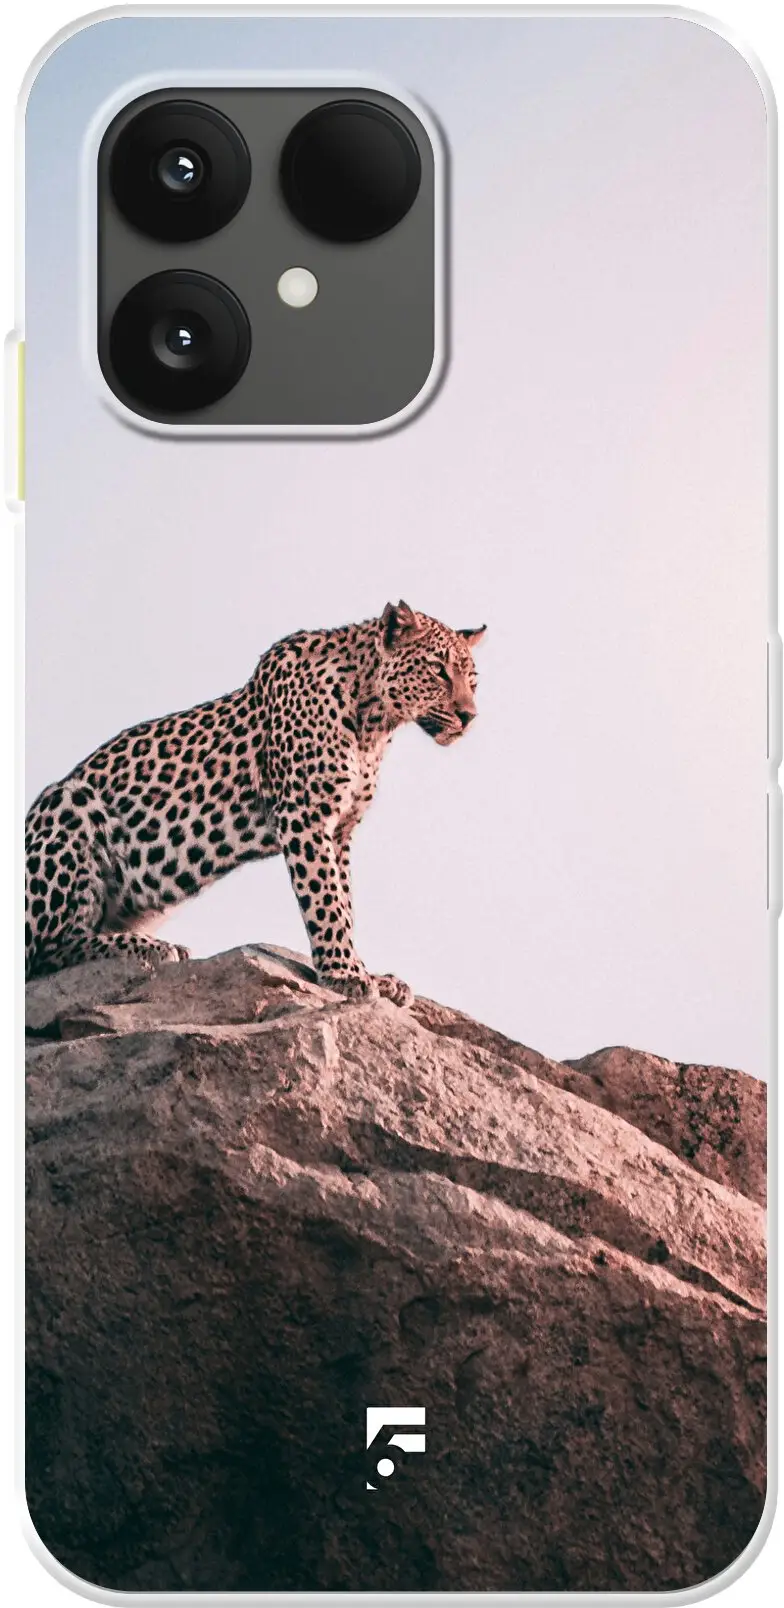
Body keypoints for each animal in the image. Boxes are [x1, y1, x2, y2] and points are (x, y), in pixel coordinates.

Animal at [25, 601, 485, 1003]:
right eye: (438, 670)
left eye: (473, 679)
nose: (470, 716)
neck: (374, 721)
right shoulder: (305, 815)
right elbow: (326, 901)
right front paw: (345, 975)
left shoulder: (340, 831)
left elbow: (345, 902)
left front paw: (368, 973)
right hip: (67, 802)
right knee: (48, 950)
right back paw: (148, 947)